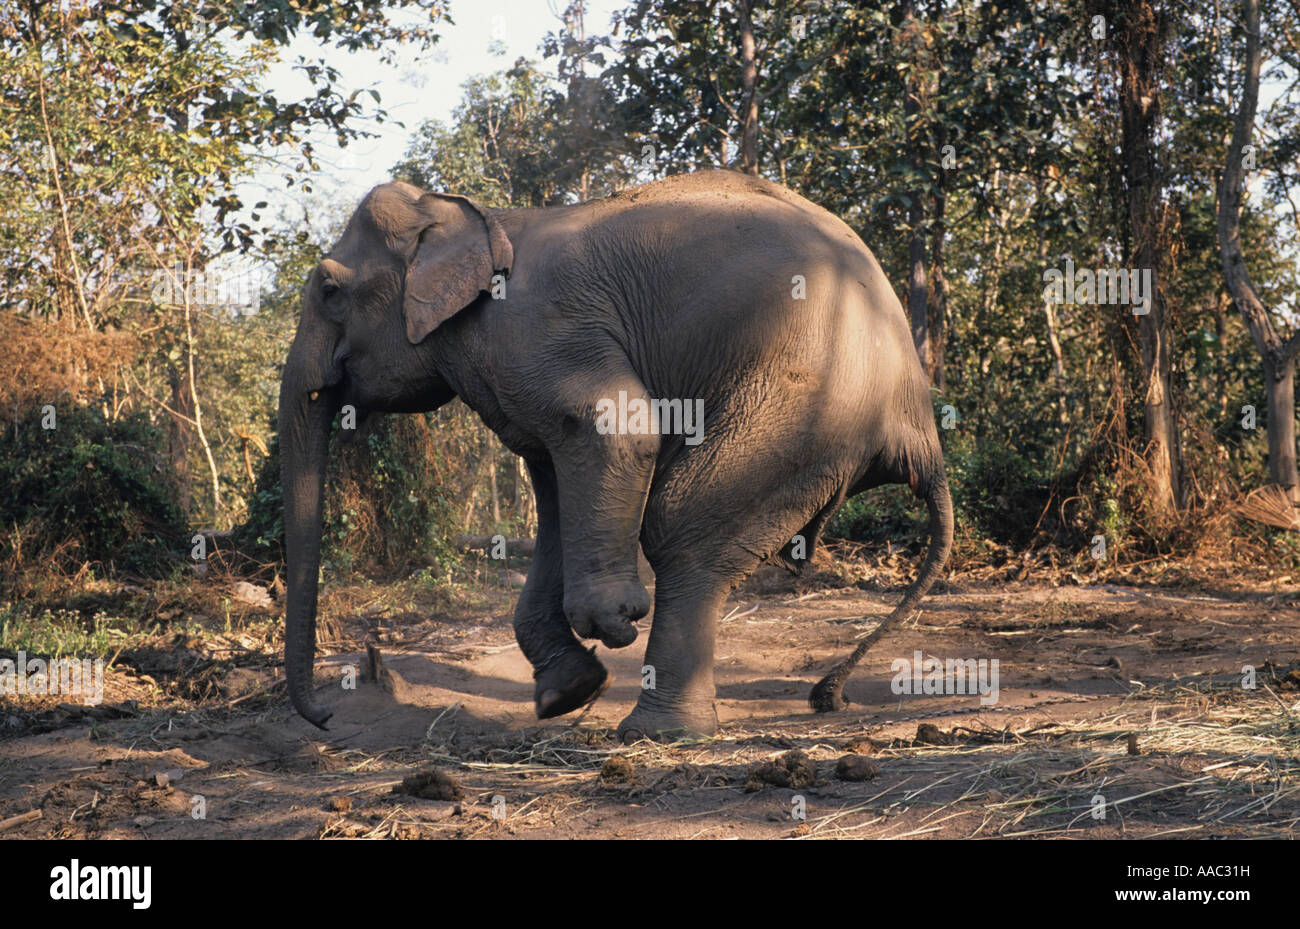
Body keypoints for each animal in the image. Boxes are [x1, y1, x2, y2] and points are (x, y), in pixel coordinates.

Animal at [279, 168, 951, 743]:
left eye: (330, 290)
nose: (326, 718)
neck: (468, 216)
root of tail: (918, 424)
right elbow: (553, 482)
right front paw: (568, 693)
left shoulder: (539, 332)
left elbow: (614, 426)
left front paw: (613, 622)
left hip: (801, 400)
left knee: (681, 528)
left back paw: (659, 733)